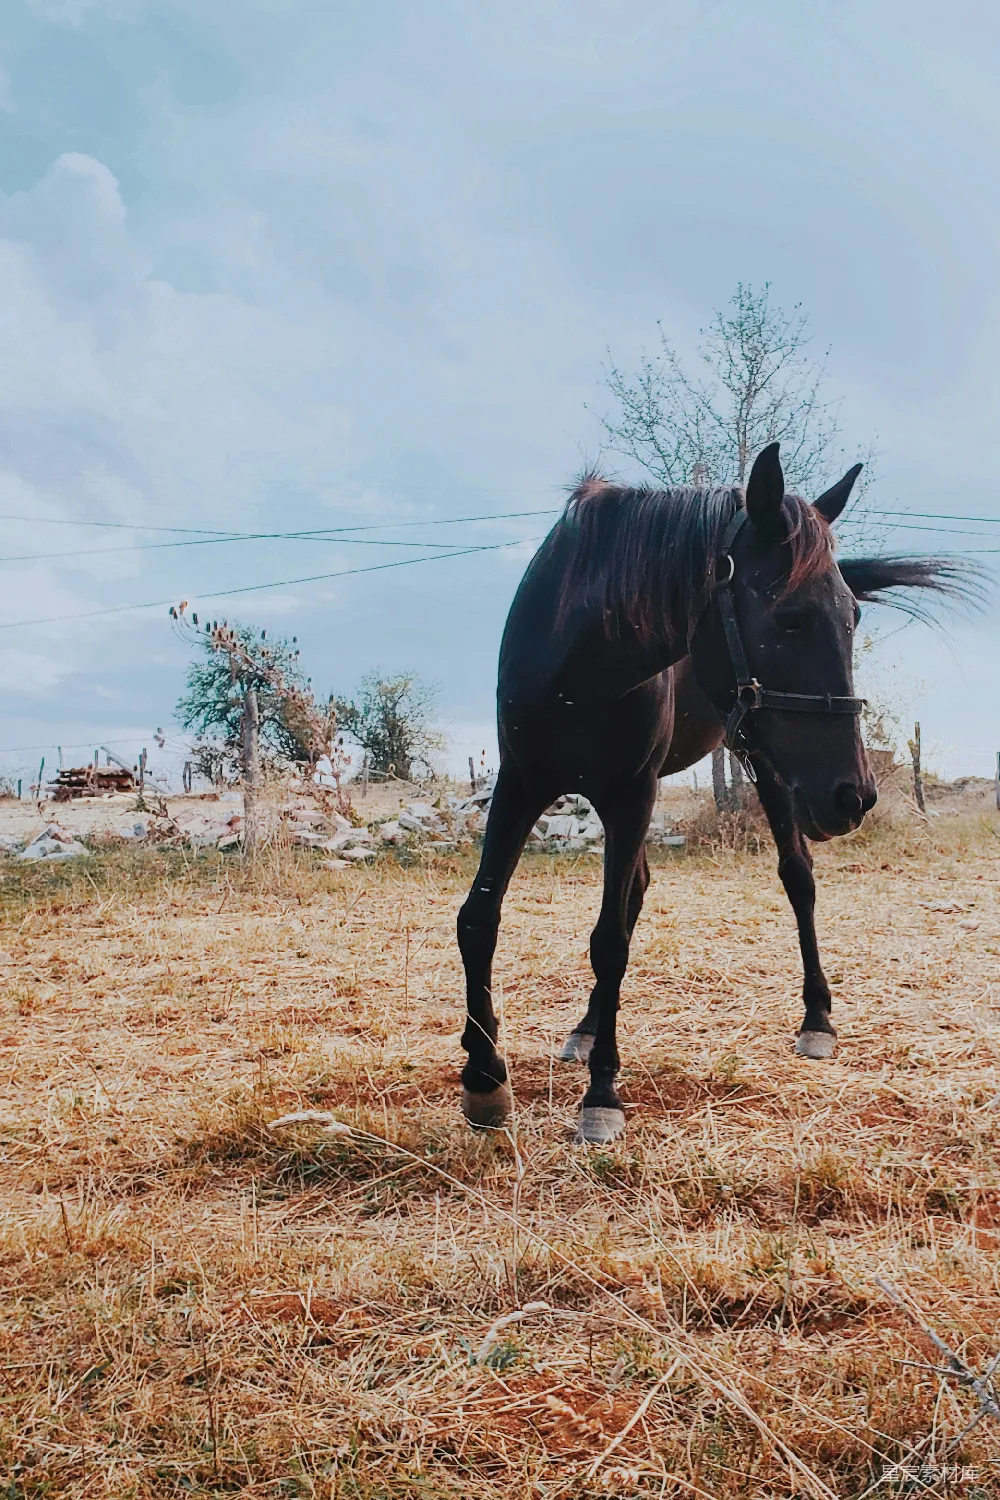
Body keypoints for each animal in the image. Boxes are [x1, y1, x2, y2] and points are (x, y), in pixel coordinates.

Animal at [457, 442, 972, 1143]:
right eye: (790, 616)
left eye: (854, 616)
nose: (855, 797)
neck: (579, 661)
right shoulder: (520, 783)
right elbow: (479, 919)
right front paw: (485, 1078)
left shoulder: (629, 794)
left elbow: (609, 942)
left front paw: (602, 1094)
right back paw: (586, 1029)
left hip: (768, 767)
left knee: (797, 876)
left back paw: (817, 1019)